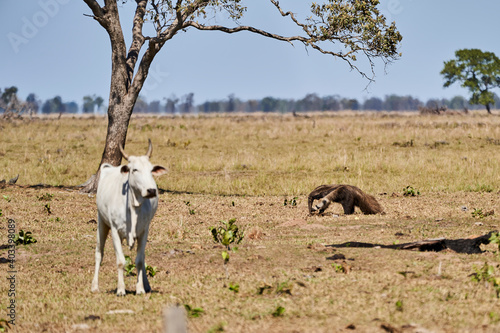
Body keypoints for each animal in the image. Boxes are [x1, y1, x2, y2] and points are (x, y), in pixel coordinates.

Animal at [91, 139, 167, 294]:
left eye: (151, 170)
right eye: (134, 169)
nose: (151, 190)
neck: (133, 207)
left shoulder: (144, 231)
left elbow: (139, 260)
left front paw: (140, 288)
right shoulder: (115, 230)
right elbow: (120, 261)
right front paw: (121, 289)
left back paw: (146, 285)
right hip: (102, 222)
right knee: (99, 253)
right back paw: (95, 286)